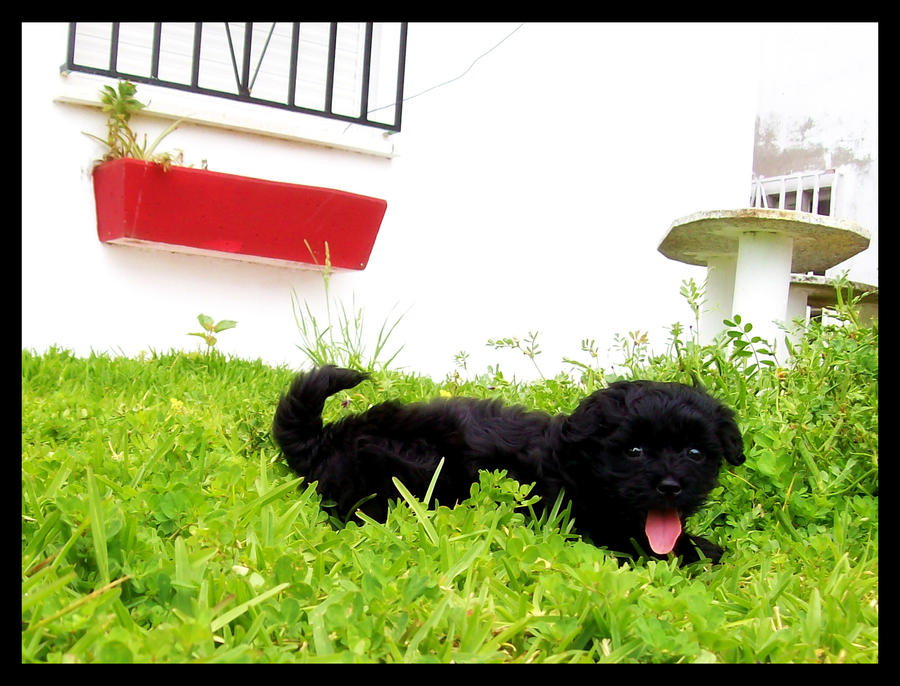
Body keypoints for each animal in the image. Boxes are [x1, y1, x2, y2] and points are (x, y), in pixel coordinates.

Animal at [272, 366, 744, 564]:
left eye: (695, 453)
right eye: (634, 451)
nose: (670, 486)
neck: (579, 463)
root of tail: (326, 438)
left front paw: (704, 547)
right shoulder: (588, 527)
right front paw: (699, 553)